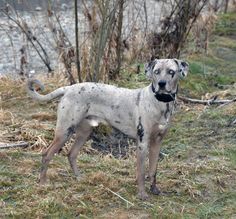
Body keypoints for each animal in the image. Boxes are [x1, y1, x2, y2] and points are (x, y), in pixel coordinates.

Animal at [27, 58, 188, 200]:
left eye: (171, 72)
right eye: (156, 71)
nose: (161, 84)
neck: (160, 103)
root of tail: (69, 88)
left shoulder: (157, 142)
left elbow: (153, 170)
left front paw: (155, 190)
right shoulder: (142, 143)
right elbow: (141, 172)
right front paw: (142, 194)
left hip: (84, 132)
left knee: (71, 154)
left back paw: (79, 177)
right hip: (65, 131)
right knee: (46, 154)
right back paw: (43, 183)